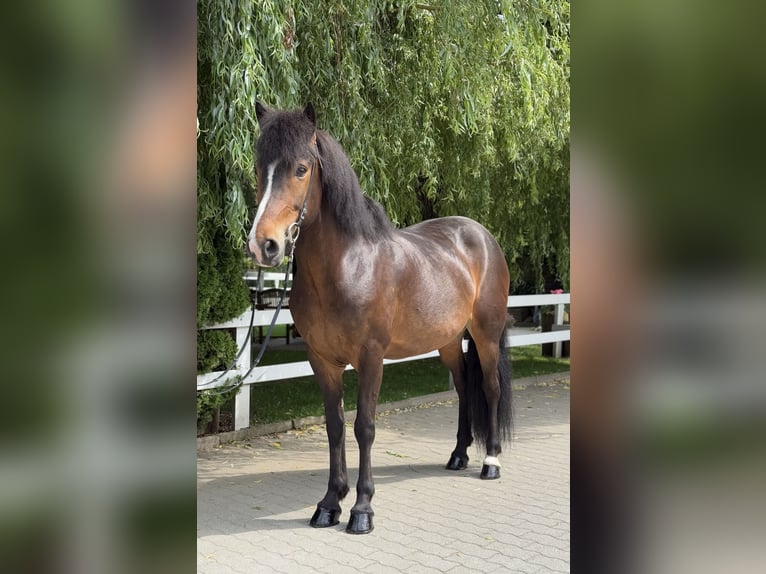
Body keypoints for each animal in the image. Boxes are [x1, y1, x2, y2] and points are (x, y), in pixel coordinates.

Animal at [247, 102, 512, 534]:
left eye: (301, 169)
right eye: (258, 168)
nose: (263, 246)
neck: (348, 266)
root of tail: (482, 235)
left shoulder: (371, 358)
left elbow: (364, 427)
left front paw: (362, 509)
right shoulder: (321, 361)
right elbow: (335, 426)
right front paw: (329, 503)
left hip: (486, 334)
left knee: (490, 388)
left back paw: (491, 461)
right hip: (448, 341)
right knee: (462, 388)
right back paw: (458, 455)